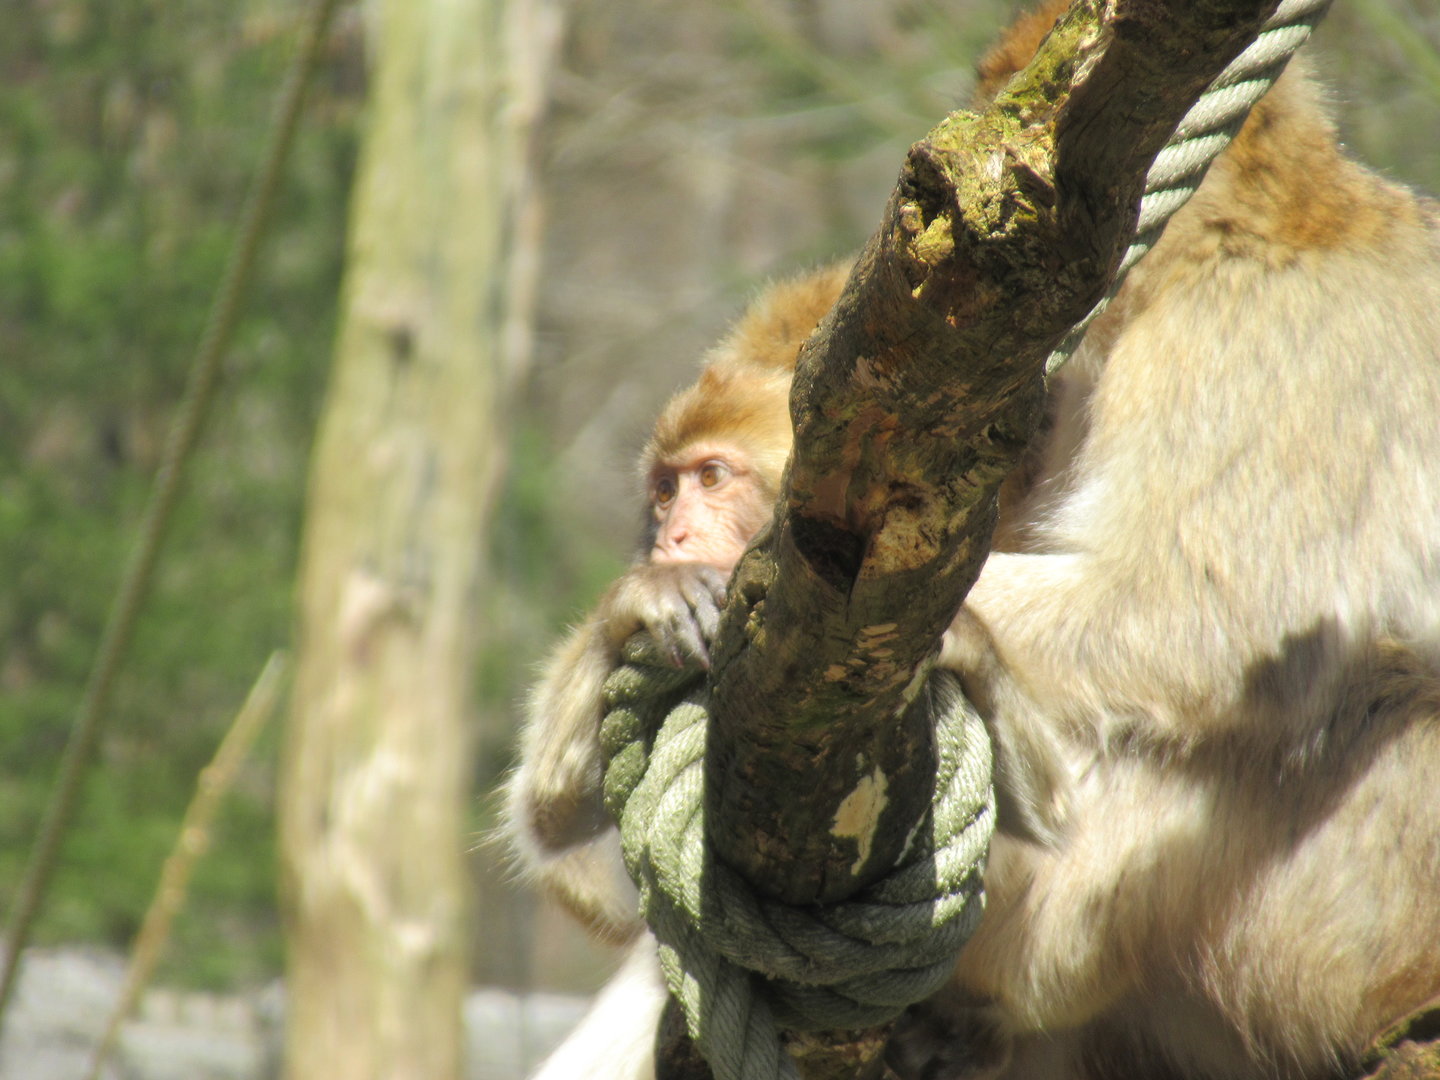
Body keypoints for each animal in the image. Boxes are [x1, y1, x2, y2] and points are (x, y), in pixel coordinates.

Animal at [505, 8, 1440, 1078]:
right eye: (665, 491)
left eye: (709, 481)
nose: (671, 532)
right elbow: (569, 848)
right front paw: (644, 604)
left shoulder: (1255, 340)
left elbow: (1200, 613)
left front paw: (954, 633)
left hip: (1310, 905)